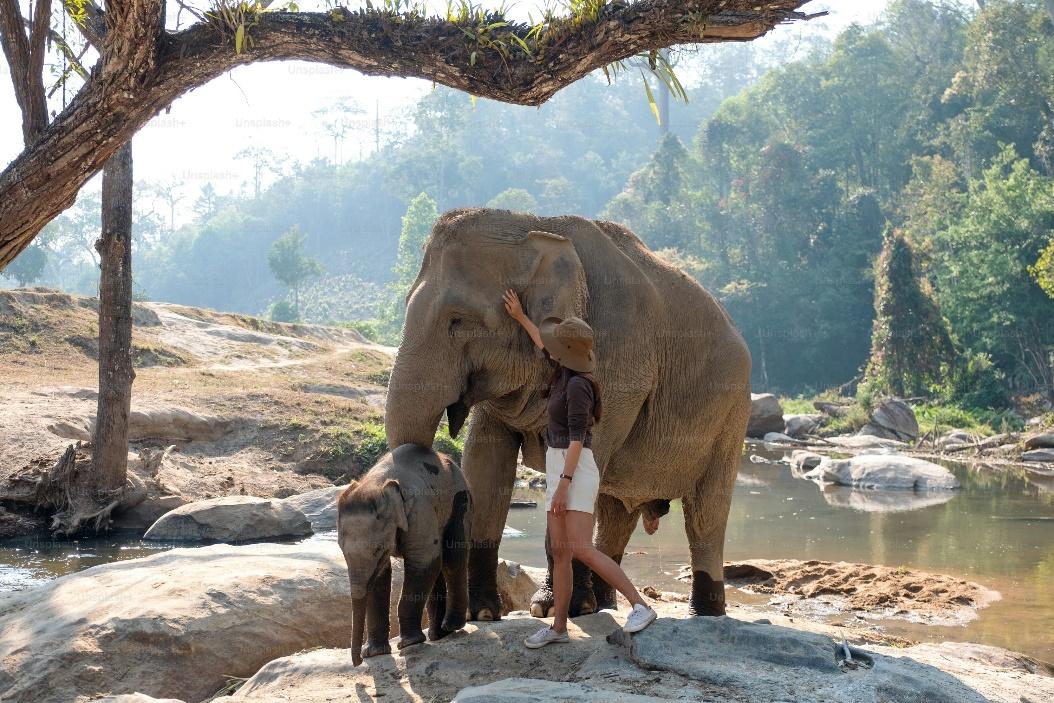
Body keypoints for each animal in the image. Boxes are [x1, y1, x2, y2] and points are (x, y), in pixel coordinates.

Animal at [339, 444, 472, 666]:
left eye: (377, 549)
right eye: (341, 549)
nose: (357, 662)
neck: (379, 484)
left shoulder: (420, 510)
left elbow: (422, 562)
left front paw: (409, 643)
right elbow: (381, 576)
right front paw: (374, 652)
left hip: (459, 501)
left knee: (452, 559)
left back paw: (451, 626)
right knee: (439, 565)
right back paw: (438, 635)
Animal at [385, 207, 750, 619]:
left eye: (457, 320)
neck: (535, 225)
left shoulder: (620, 368)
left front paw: (550, 608)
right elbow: (485, 463)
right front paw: (482, 614)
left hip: (732, 414)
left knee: (707, 512)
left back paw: (704, 612)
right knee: (615, 511)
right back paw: (604, 603)